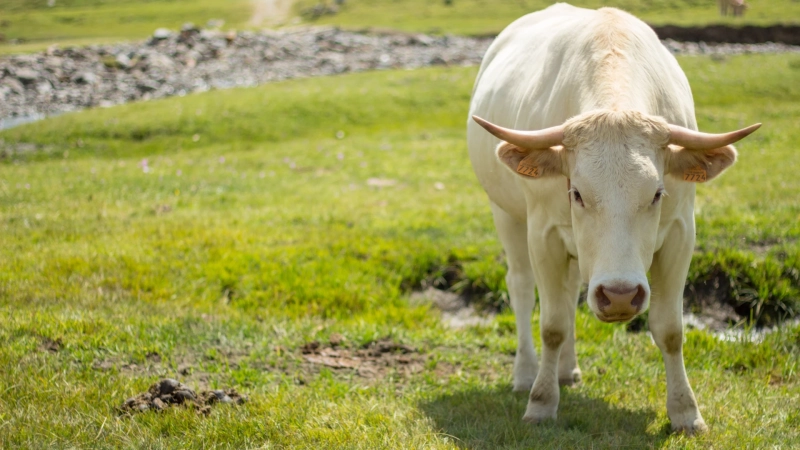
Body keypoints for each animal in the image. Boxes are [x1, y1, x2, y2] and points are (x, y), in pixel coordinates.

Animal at [468, 2, 764, 432]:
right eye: (576, 193)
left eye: (657, 193)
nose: (620, 295)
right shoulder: (543, 233)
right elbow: (551, 325)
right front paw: (541, 403)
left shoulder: (681, 233)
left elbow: (670, 329)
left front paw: (686, 412)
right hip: (505, 213)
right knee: (522, 287)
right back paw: (525, 374)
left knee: (570, 289)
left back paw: (567, 370)